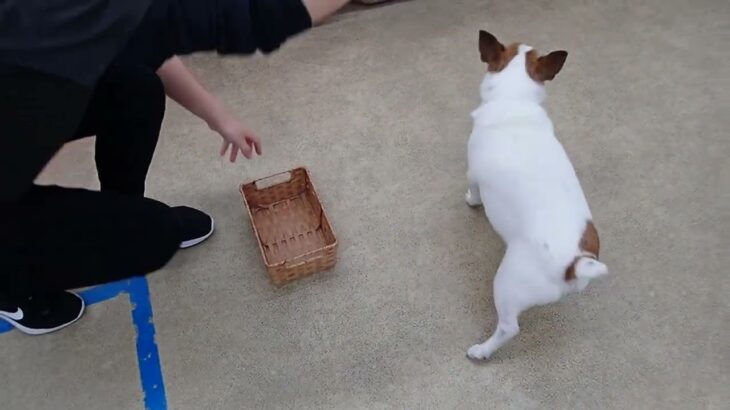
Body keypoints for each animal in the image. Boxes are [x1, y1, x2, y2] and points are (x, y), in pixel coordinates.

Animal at [464, 30, 604, 360]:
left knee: (508, 328)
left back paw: (481, 351)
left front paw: (471, 201)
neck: (514, 98)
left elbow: (473, 189)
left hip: (507, 283)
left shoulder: (473, 171)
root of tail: (575, 262)